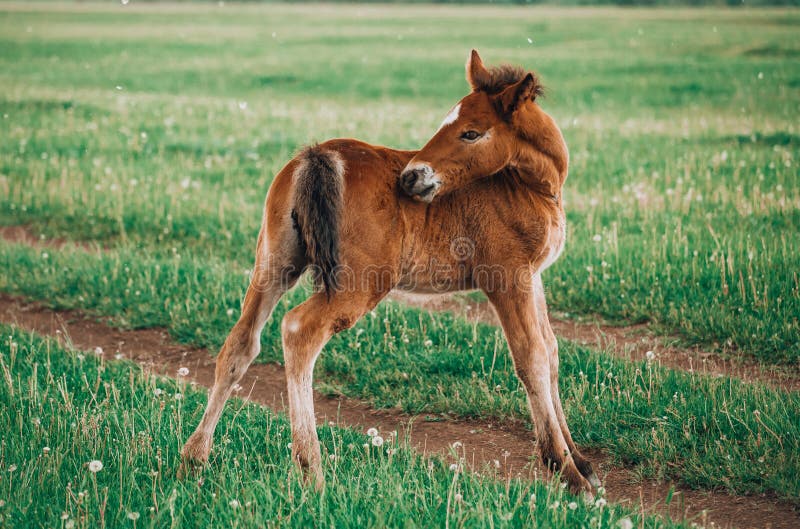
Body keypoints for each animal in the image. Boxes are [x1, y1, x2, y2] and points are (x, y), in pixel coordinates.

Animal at [180, 50, 599, 495]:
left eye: (470, 133)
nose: (411, 177)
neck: (531, 184)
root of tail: (317, 156)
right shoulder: (507, 276)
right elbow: (531, 357)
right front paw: (568, 473)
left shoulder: (533, 276)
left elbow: (551, 352)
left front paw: (581, 461)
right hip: (361, 282)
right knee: (298, 330)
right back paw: (311, 469)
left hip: (274, 264)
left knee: (241, 343)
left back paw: (194, 458)